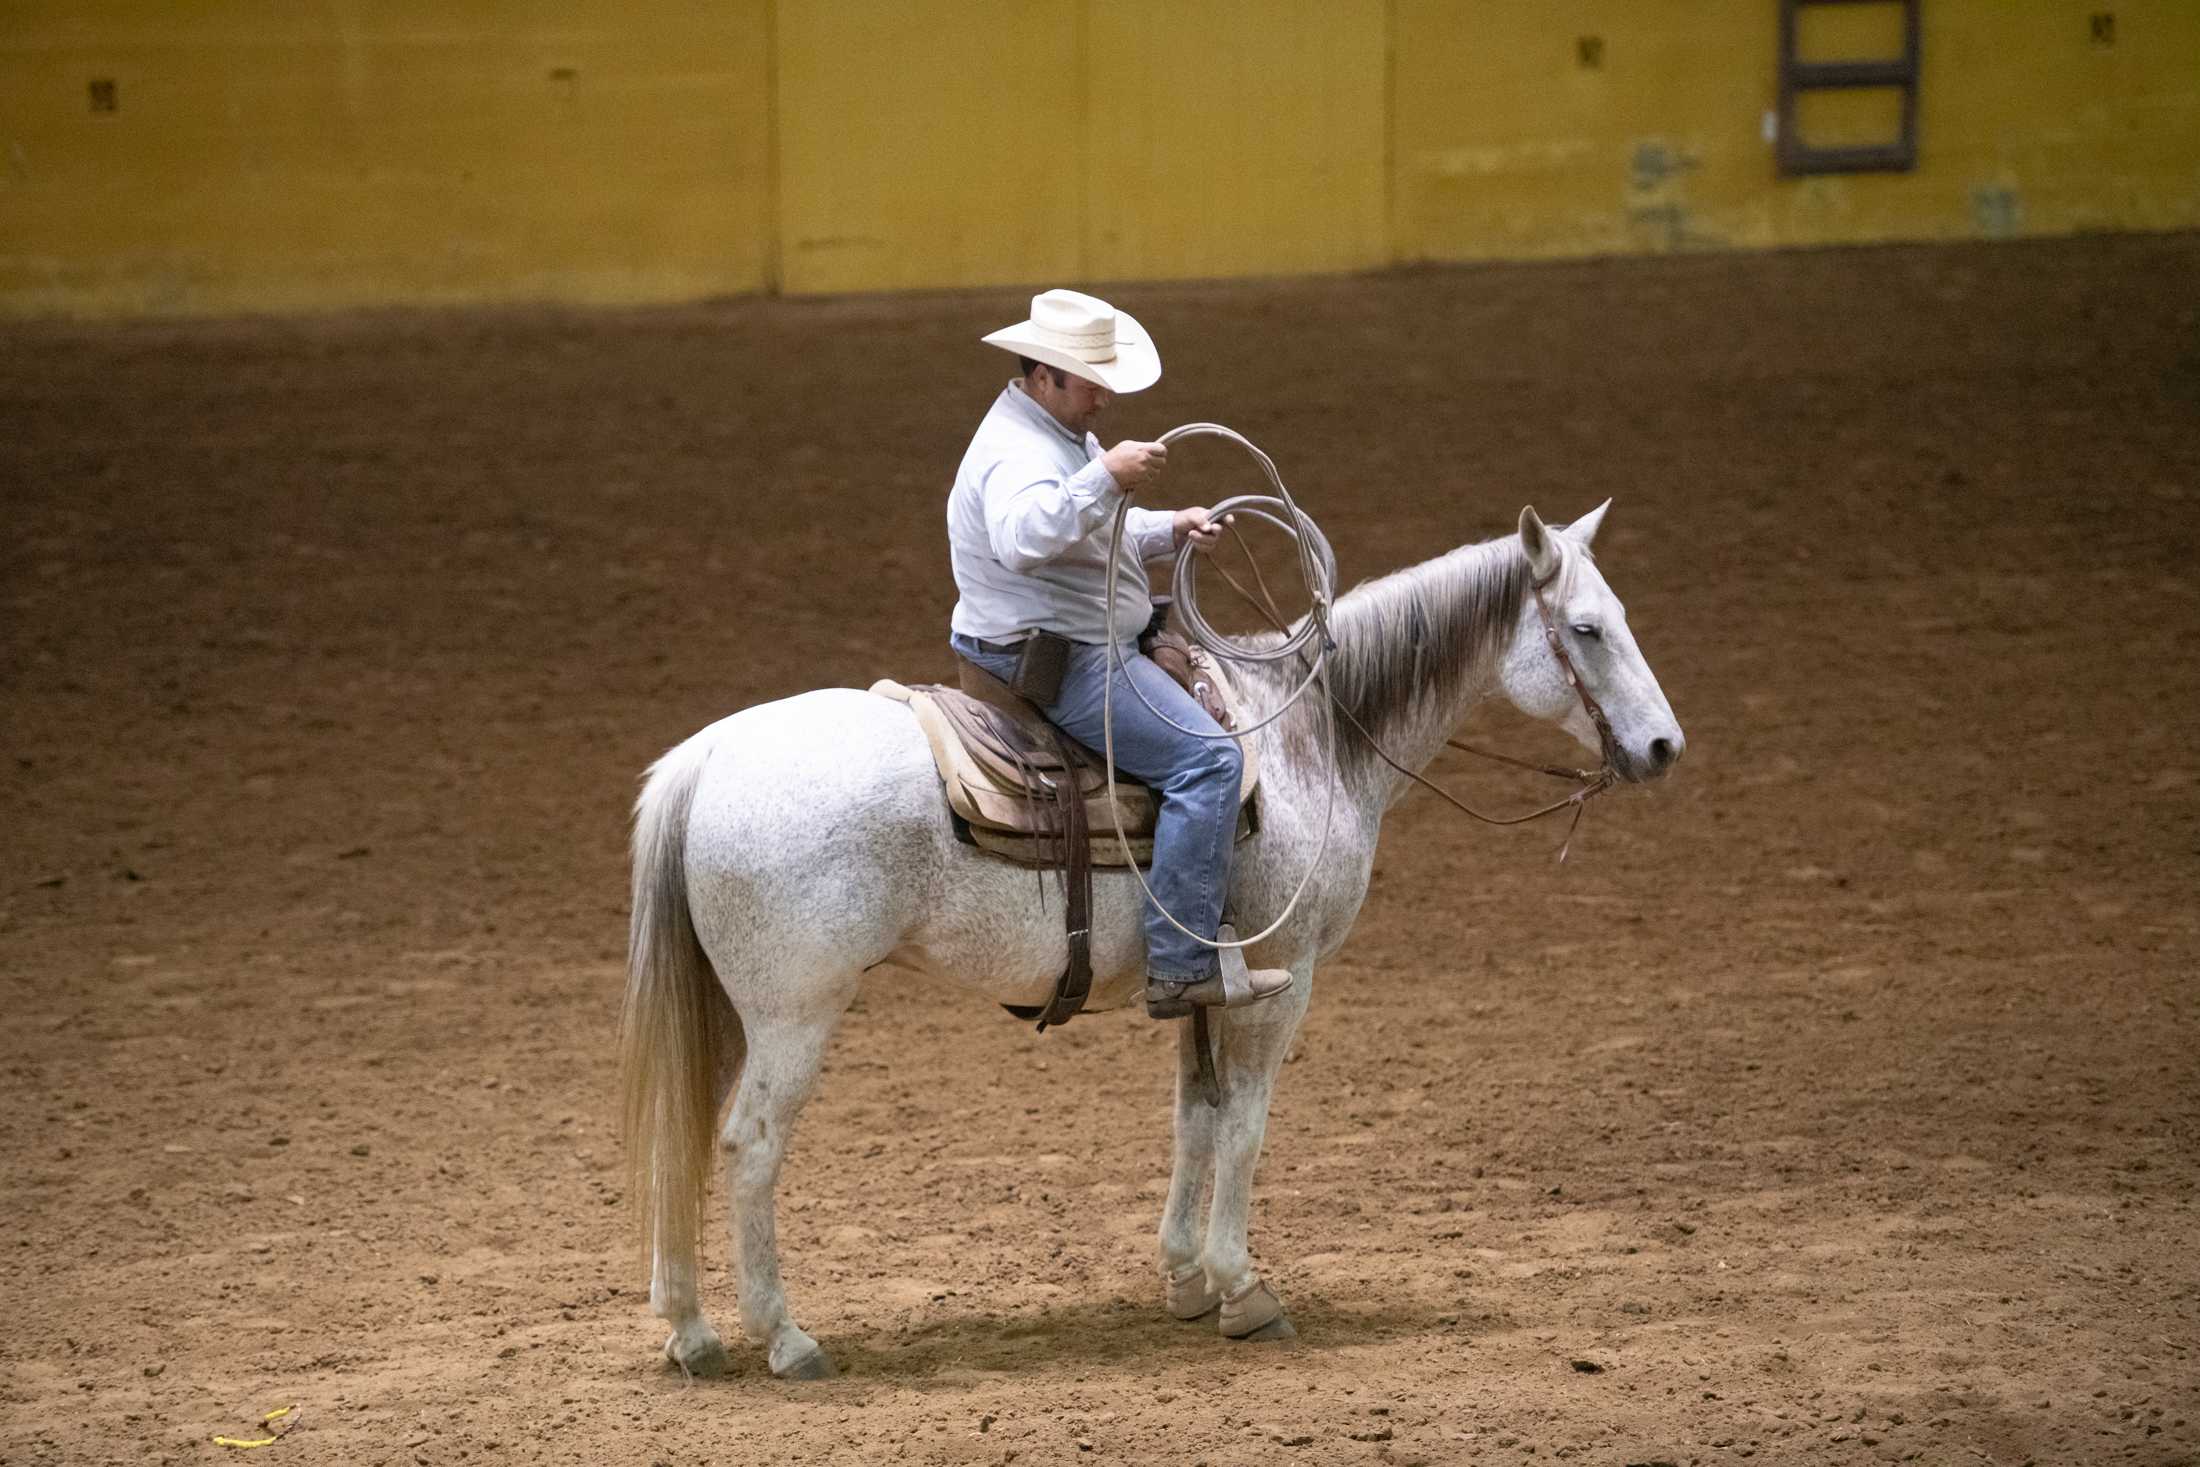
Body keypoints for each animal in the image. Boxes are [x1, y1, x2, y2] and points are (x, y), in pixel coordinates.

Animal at [620, 501, 1680, 1381]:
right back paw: (785, 1337)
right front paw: (1243, 1286)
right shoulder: (1286, 979)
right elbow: (1245, 1125)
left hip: (731, 1009)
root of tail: (705, 757)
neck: (1305, 740)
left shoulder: (1207, 984)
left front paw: (1184, 1278)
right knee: (751, 1144)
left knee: (687, 1135)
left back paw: (692, 1332)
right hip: (796, 1012)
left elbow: (1195, 1116)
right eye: (1586, 628)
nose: (1664, 746)